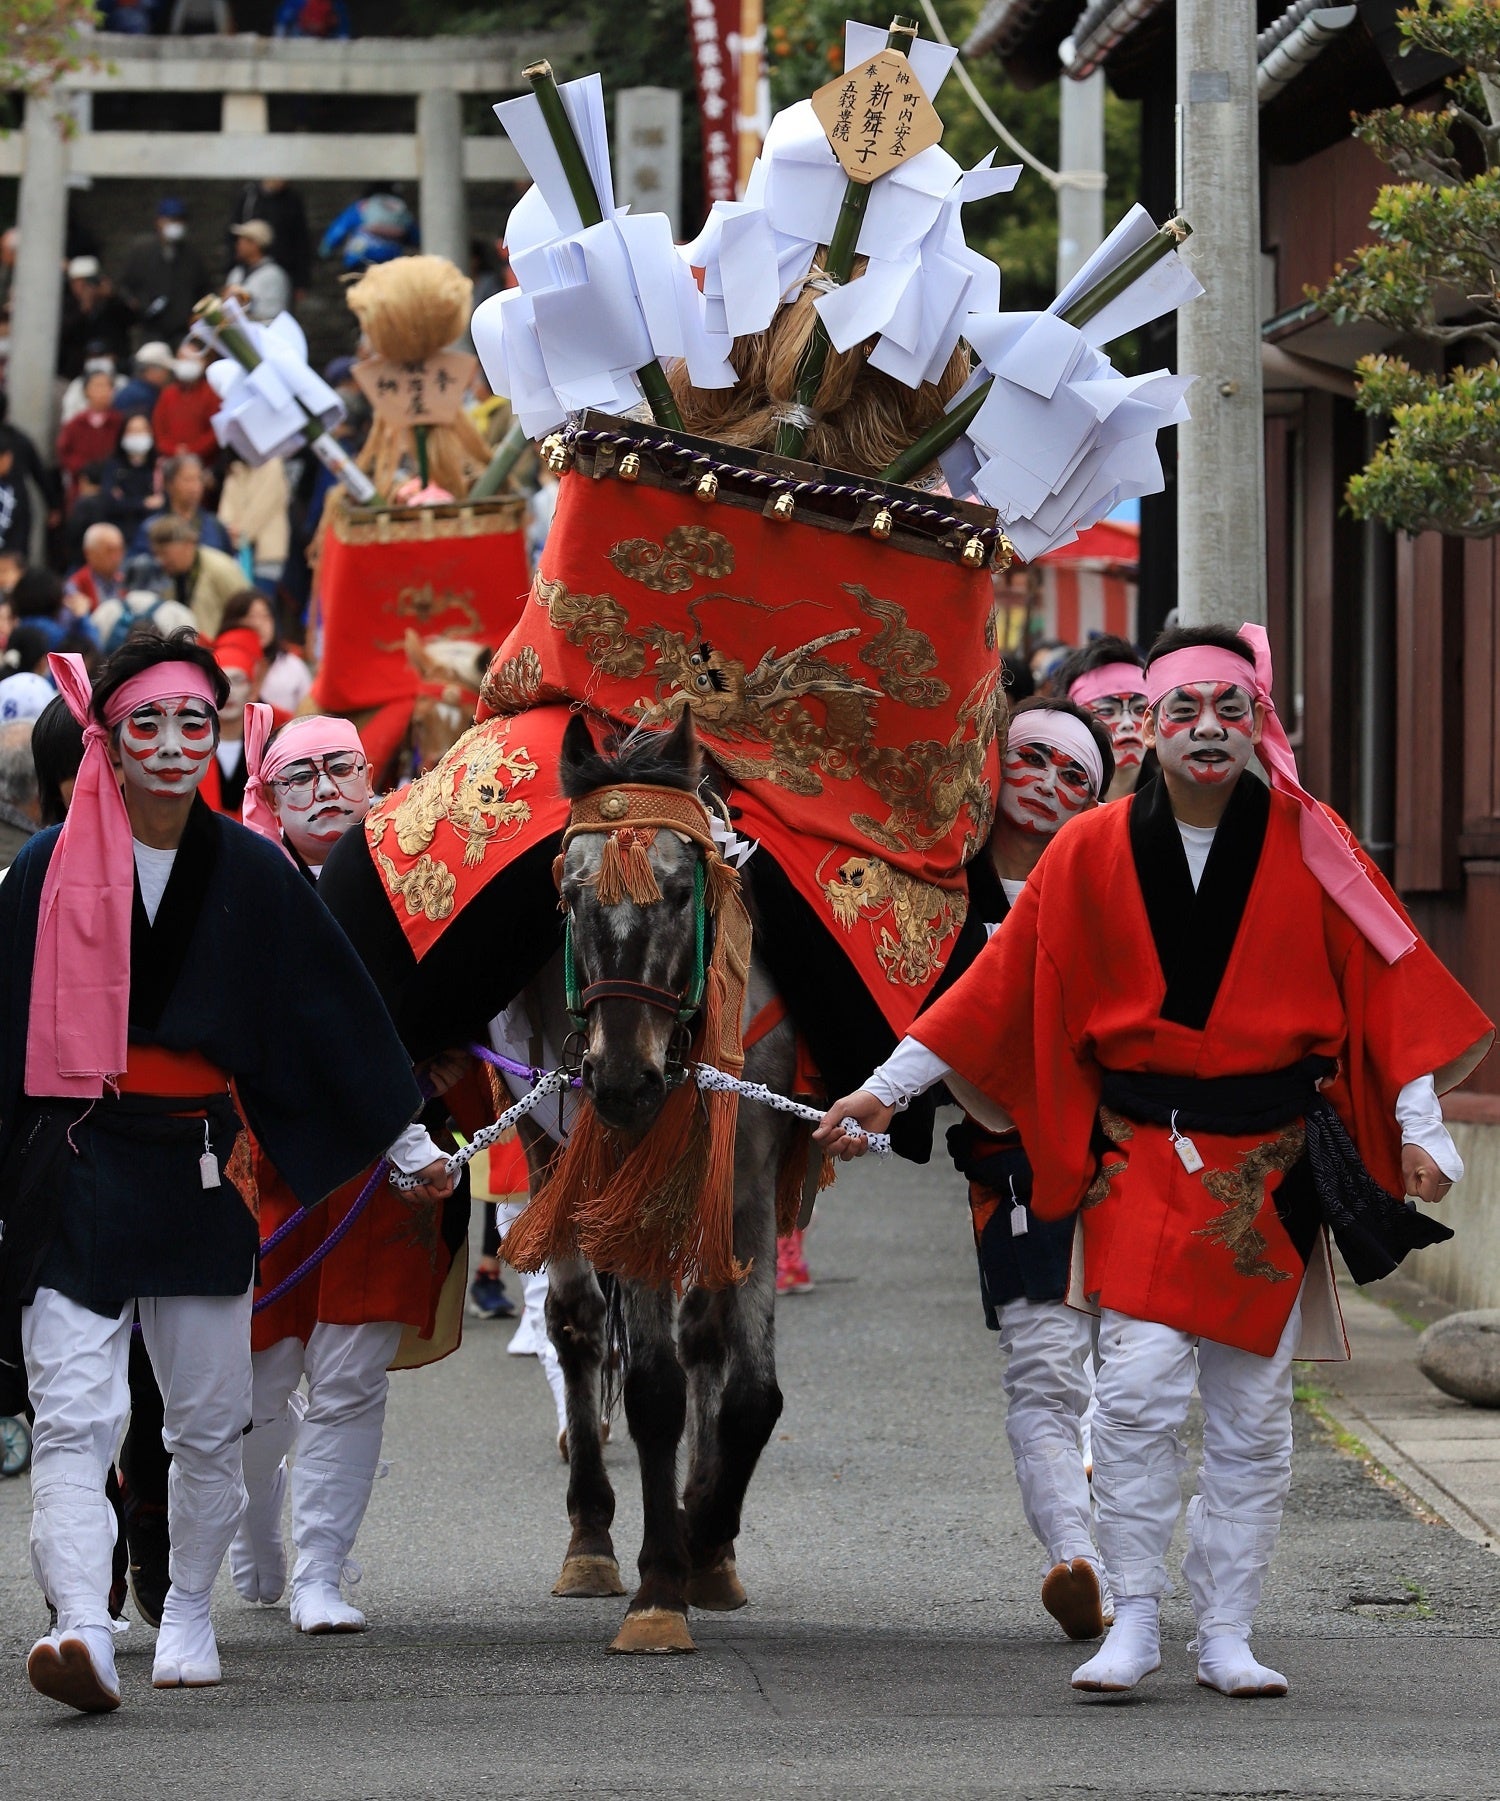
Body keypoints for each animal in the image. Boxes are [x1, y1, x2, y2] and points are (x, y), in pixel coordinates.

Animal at [518, 709, 813, 1649]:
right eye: (573, 896)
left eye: (682, 893)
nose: (620, 1079)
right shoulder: (623, 1165)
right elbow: (650, 1384)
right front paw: (659, 1582)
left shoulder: (749, 1164)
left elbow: (748, 1386)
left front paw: (707, 1537)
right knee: (577, 1323)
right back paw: (590, 1535)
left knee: (704, 1334)